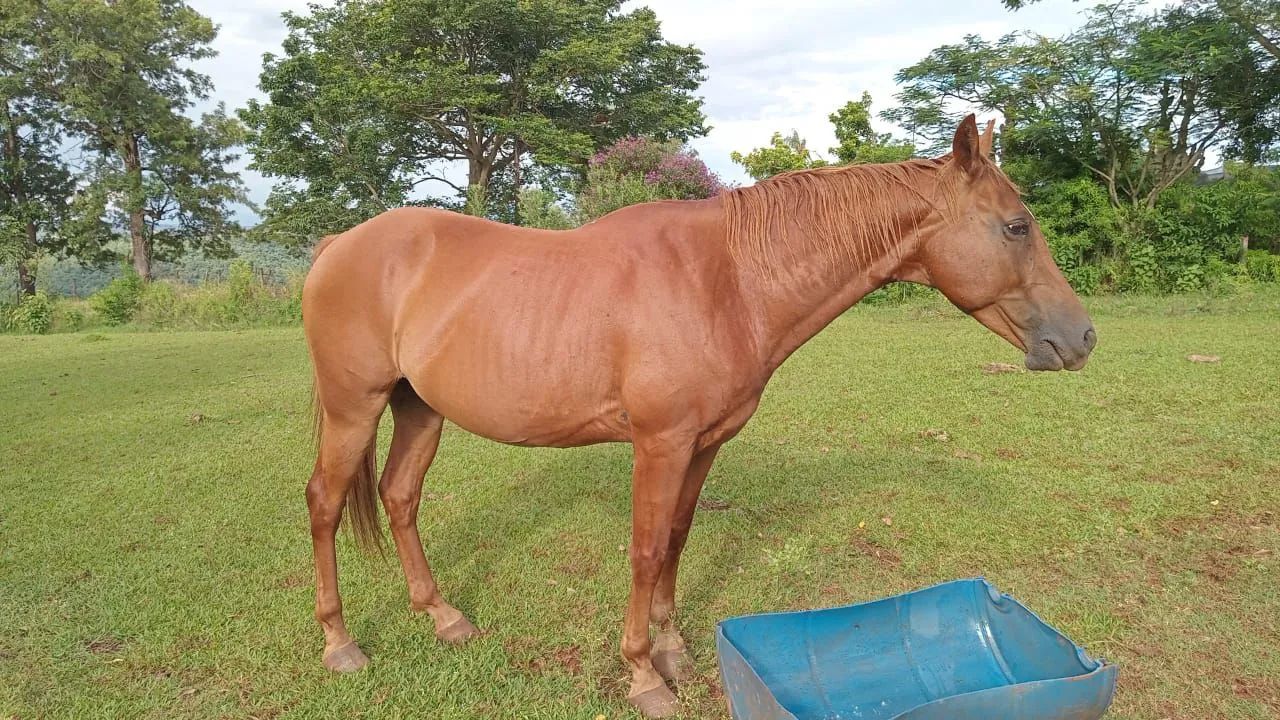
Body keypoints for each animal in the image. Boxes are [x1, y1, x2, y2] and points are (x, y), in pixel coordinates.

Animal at [300, 115, 1096, 717]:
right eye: (1017, 227)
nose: (1082, 337)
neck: (728, 280)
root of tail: (339, 245)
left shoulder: (704, 444)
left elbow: (677, 542)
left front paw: (673, 650)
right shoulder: (660, 444)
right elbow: (646, 550)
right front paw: (642, 675)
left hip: (420, 410)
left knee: (400, 497)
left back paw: (443, 617)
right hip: (354, 407)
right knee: (325, 503)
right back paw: (340, 645)